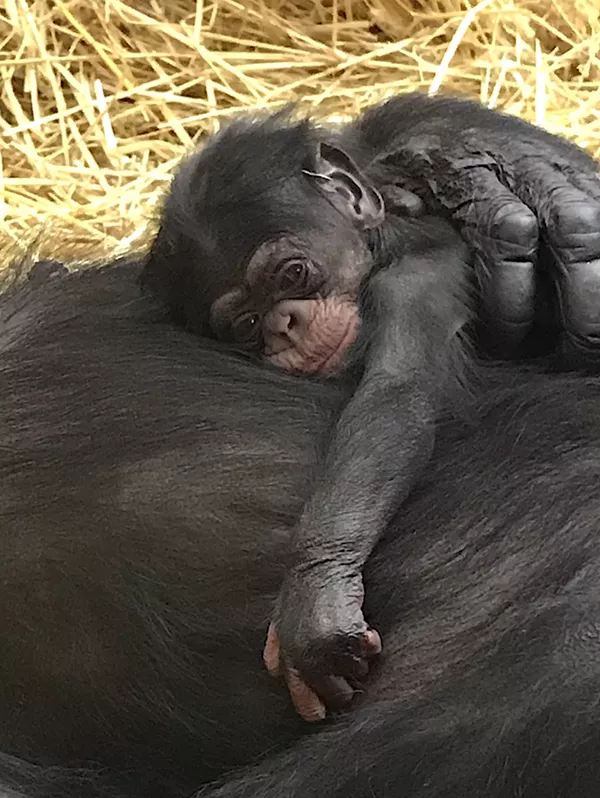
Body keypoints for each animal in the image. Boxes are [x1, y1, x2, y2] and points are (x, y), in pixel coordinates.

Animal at [142, 89, 600, 720]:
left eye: (293, 273)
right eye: (248, 324)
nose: (284, 326)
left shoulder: (416, 280)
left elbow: (396, 395)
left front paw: (316, 594)